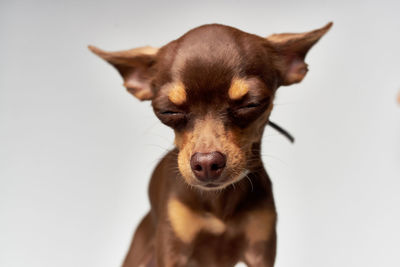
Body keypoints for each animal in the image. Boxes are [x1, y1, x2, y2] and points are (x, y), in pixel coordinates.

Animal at [90, 22, 332, 266]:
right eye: (168, 111)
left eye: (251, 104)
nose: (206, 163)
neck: (218, 201)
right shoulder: (172, 251)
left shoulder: (260, 252)